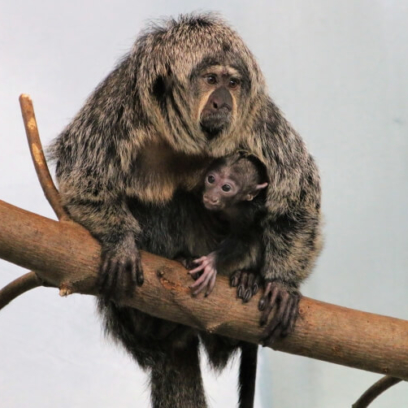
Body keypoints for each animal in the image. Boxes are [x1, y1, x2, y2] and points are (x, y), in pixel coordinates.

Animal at [190, 153, 270, 300]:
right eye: (211, 179)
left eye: (226, 188)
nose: (211, 196)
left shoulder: (249, 212)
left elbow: (243, 238)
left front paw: (212, 261)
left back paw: (248, 276)